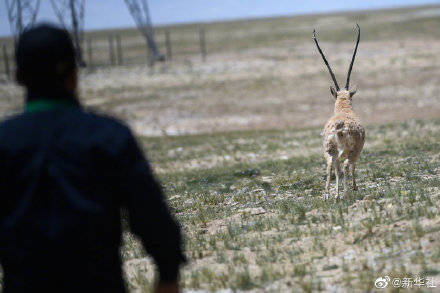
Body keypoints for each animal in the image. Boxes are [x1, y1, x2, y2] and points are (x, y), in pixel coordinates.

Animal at [312, 24, 364, 198]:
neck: (344, 110)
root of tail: (340, 125)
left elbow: (336, 169)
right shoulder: (356, 151)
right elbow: (352, 167)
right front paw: (354, 187)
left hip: (330, 150)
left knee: (331, 166)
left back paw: (329, 194)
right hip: (350, 151)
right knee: (347, 166)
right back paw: (345, 193)